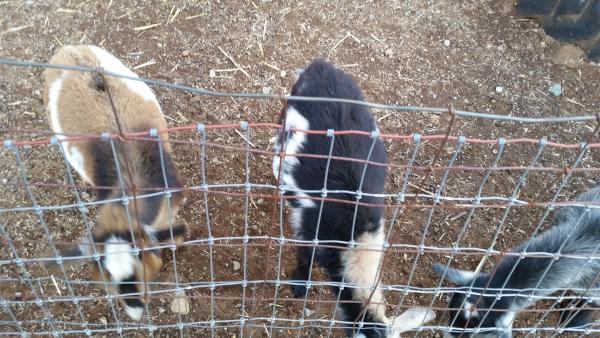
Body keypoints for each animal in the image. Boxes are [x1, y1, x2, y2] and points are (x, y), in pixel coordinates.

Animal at [274, 59, 436, 336]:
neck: (357, 239)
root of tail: (320, 66)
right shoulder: (309, 232)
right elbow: (304, 257)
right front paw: (299, 286)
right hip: (288, 120)